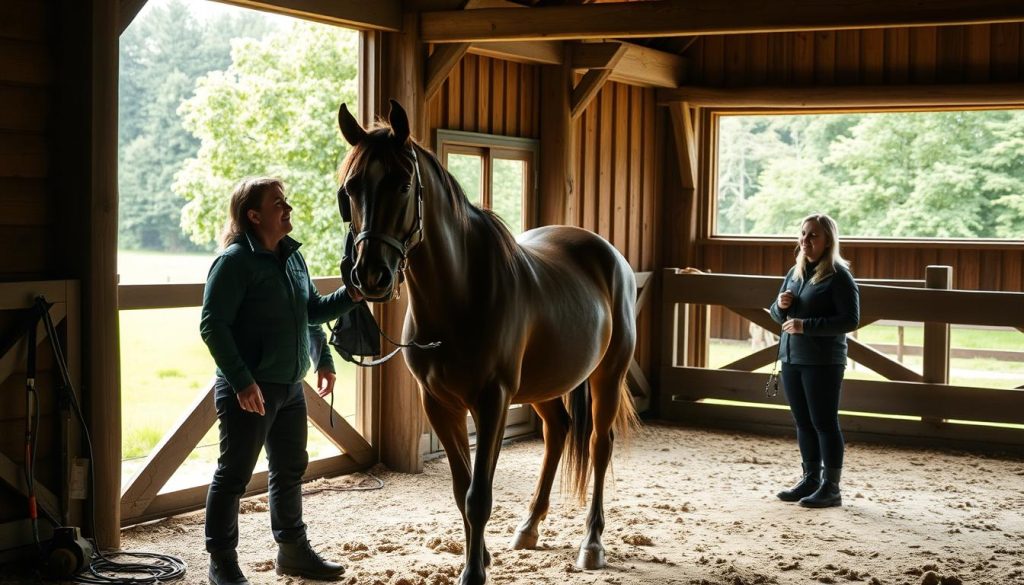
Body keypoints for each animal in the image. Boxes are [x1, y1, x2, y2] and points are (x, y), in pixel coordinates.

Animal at [337, 99, 638, 585]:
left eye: (402, 183)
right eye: (350, 189)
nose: (370, 275)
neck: (459, 297)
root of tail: (610, 257)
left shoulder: (492, 401)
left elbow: (479, 494)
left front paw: (474, 571)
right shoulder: (439, 404)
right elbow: (462, 489)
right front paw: (481, 557)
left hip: (607, 377)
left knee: (599, 445)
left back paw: (592, 543)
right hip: (543, 385)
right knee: (557, 432)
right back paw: (530, 526)